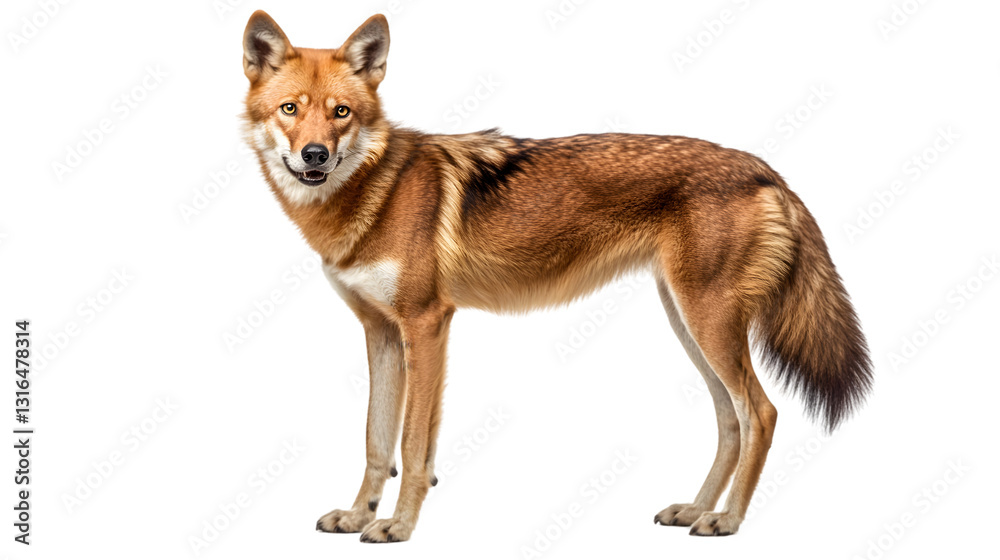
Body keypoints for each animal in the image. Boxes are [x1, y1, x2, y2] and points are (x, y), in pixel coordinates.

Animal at [241, 11, 872, 542]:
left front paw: (398, 526)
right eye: (291, 110)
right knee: (730, 421)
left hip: (707, 324)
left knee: (760, 414)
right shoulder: (381, 334)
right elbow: (377, 442)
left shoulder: (426, 325)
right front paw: (357, 515)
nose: (316, 156)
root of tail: (764, 168)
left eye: (340, 112)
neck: (374, 192)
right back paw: (695, 509)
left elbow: (415, 447)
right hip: (689, 325)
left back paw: (728, 521)